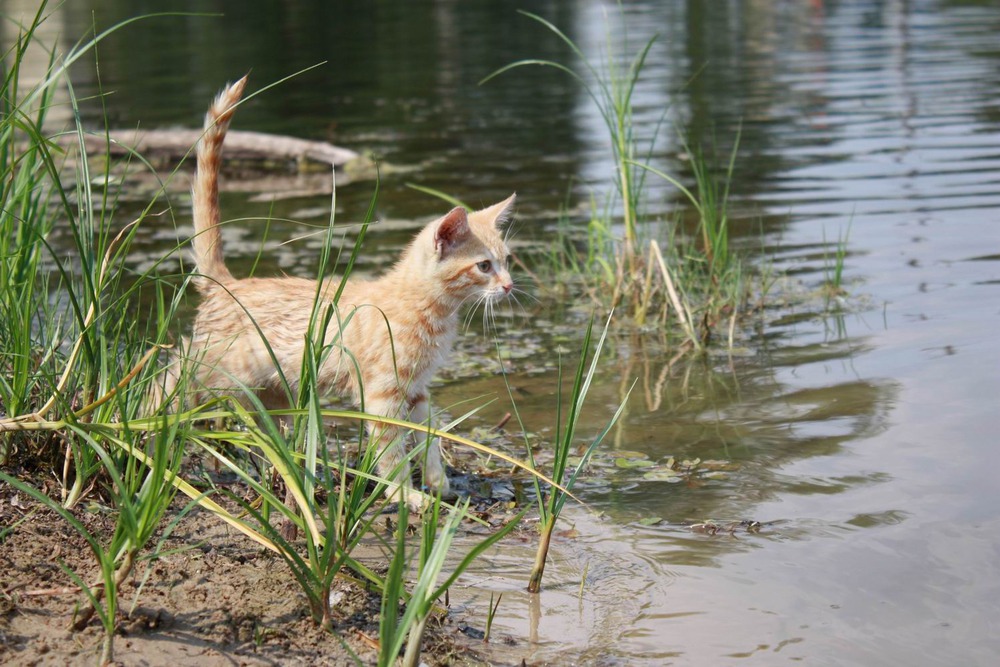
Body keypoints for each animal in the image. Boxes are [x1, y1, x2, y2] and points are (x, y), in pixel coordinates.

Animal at [164, 75, 516, 508]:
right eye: (484, 266)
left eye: (507, 260)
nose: (508, 285)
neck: (427, 310)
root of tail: (228, 284)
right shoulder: (382, 395)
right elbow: (392, 453)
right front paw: (406, 494)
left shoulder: (416, 390)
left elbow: (431, 429)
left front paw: (437, 479)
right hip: (216, 371)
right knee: (170, 370)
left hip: (275, 394)